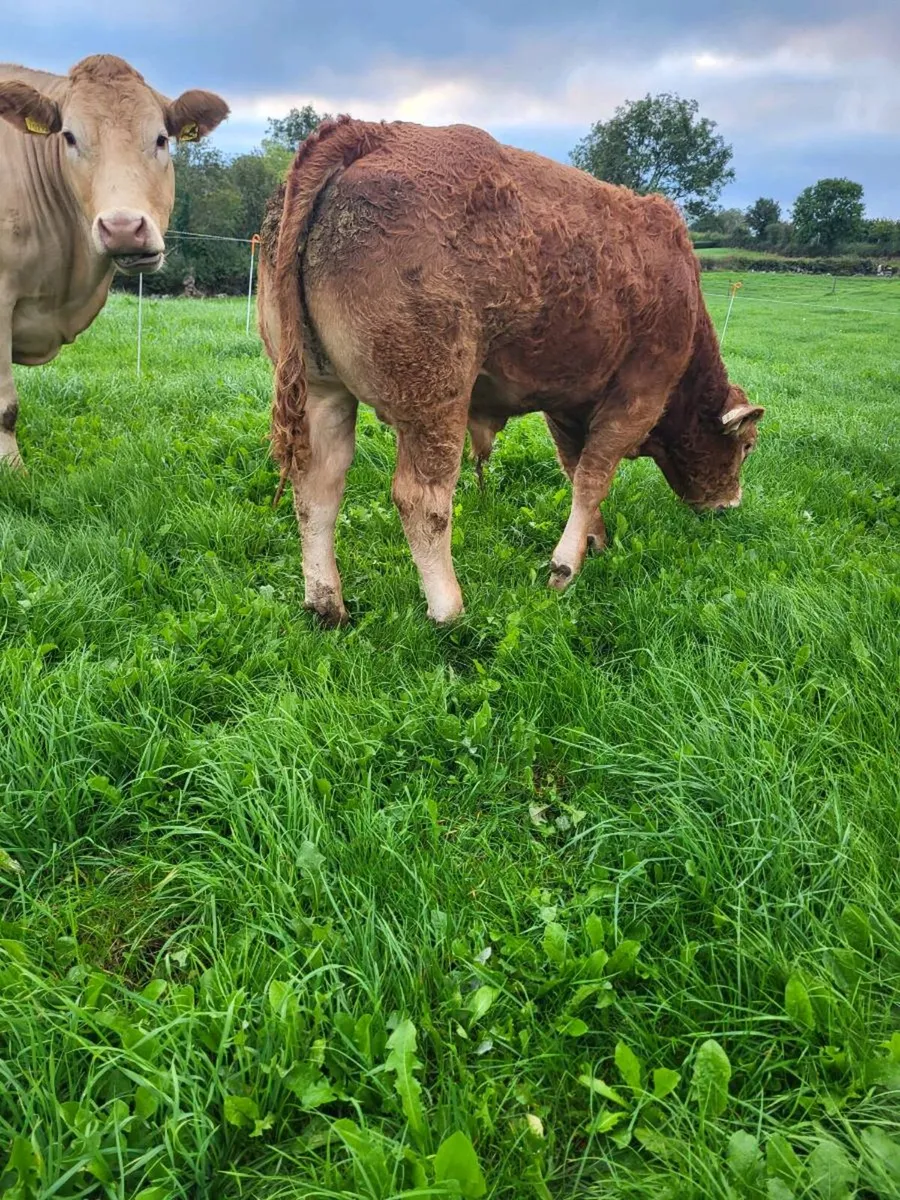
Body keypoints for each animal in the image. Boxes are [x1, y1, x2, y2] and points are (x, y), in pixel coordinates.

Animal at [258, 116, 764, 626]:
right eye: (747, 446)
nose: (730, 504)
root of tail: (369, 132)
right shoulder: (638, 395)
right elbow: (593, 478)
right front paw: (565, 567)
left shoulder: (568, 406)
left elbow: (576, 470)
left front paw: (593, 539)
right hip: (434, 400)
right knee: (422, 500)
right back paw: (449, 609)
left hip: (322, 390)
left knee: (317, 488)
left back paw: (327, 606)